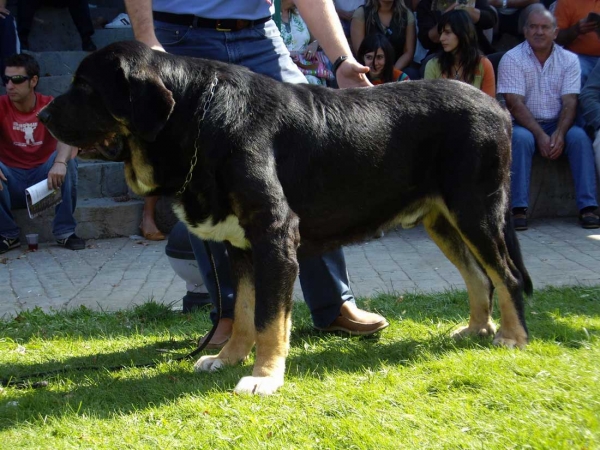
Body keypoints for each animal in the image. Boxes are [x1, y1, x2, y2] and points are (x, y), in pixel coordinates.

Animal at [39, 41, 532, 394]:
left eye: (86, 89)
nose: (42, 113)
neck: (199, 120)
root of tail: (497, 106)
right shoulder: (239, 246)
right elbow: (241, 313)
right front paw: (227, 357)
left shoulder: (273, 236)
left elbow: (268, 320)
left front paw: (264, 376)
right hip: (441, 220)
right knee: (479, 277)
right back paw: (476, 328)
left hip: (476, 210)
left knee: (504, 274)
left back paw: (512, 336)